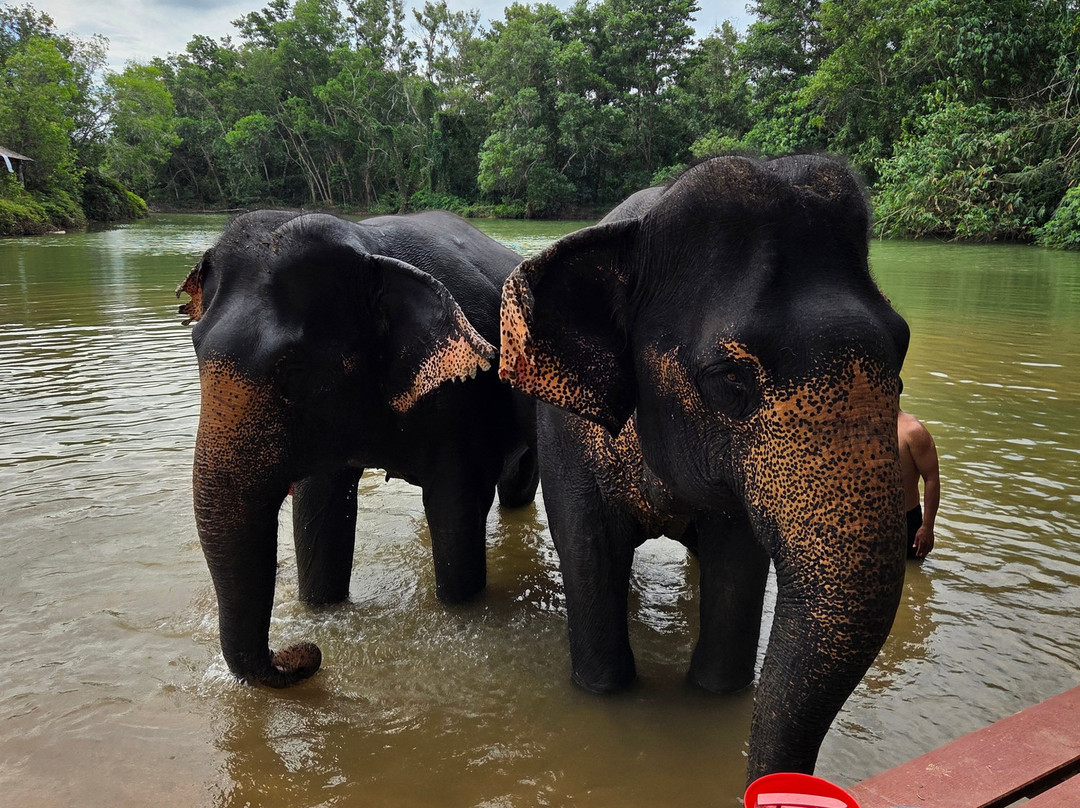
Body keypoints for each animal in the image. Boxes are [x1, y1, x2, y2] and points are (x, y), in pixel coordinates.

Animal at [177, 209, 538, 688]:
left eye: (295, 370)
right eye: (195, 347)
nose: (305, 654)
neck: (368, 244)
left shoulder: (466, 393)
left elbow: (456, 507)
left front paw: (460, 610)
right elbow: (319, 507)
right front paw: (321, 611)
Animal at [498, 155, 910, 780]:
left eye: (902, 353)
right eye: (728, 379)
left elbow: (736, 561)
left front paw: (715, 694)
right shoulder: (566, 437)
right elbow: (587, 549)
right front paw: (604, 689)